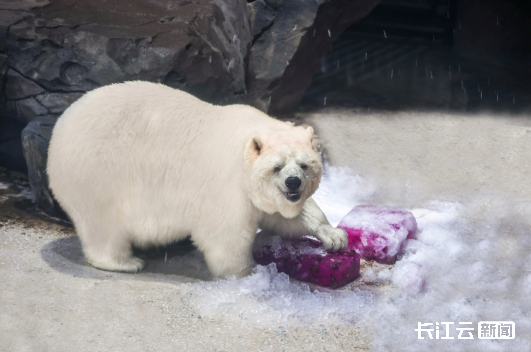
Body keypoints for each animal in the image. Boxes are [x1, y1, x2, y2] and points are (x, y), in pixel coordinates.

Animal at [47, 82, 350, 278]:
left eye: (304, 165)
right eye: (277, 167)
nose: (293, 183)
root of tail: (57, 133)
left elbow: (284, 215)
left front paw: (334, 236)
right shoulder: (226, 186)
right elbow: (225, 236)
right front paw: (248, 273)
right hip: (99, 174)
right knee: (104, 226)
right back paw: (127, 262)